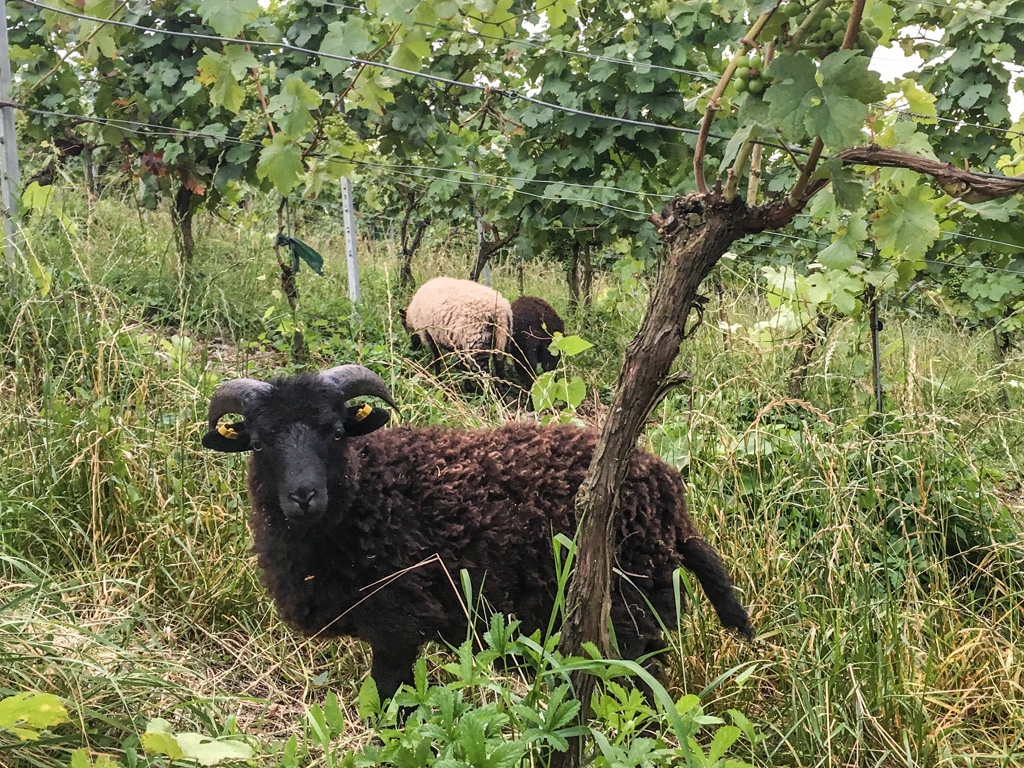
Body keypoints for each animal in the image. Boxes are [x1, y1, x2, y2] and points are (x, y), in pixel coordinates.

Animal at [201, 365, 753, 702]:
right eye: (259, 442)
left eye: (336, 432)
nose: (304, 495)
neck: (368, 496)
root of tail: (671, 498)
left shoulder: (399, 624)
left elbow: (388, 708)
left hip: (631, 611)